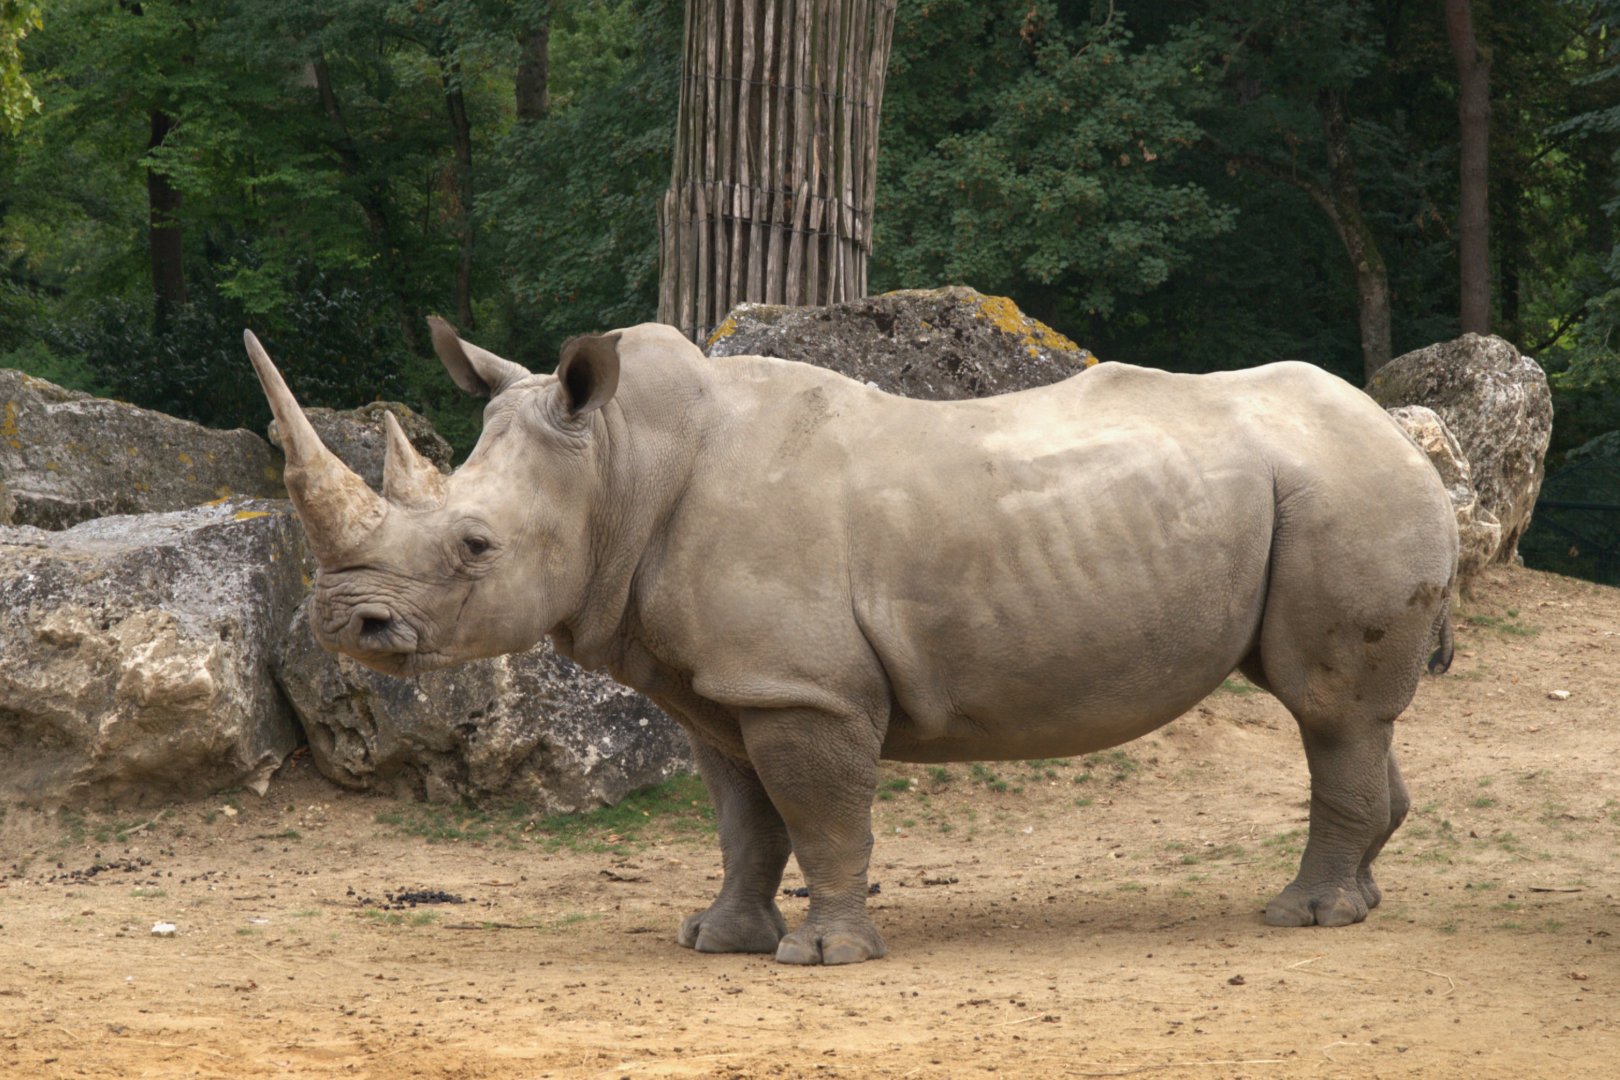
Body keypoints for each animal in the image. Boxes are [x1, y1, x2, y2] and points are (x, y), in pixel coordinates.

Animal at [245, 318, 1458, 966]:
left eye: (475, 545)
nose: (346, 626)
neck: (620, 464)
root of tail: (1405, 433)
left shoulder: (801, 687)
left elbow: (821, 813)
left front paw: (821, 957)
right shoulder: (725, 688)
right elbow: (745, 820)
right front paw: (717, 938)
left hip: (1344, 491)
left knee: (1326, 708)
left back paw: (1302, 917)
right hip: (1328, 485)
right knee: (1355, 718)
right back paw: (1360, 902)